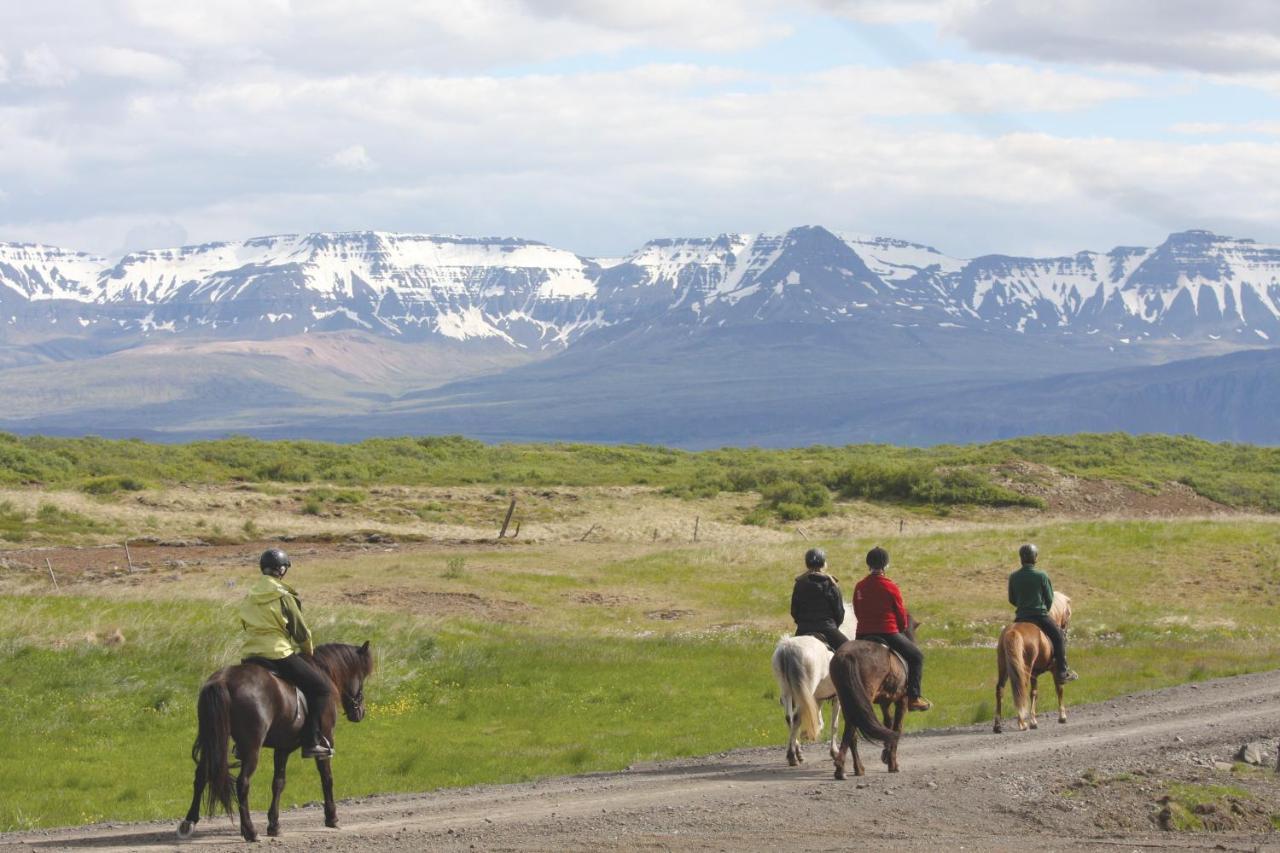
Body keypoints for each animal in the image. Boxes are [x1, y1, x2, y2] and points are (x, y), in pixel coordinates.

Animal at [177, 640, 373, 840]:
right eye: (362, 675)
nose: (360, 712)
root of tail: (223, 680)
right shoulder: (326, 741)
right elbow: (327, 777)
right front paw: (332, 817)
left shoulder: (282, 748)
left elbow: (278, 783)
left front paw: (274, 824)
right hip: (251, 747)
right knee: (242, 783)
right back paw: (250, 830)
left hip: (211, 740)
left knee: (201, 775)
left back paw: (189, 821)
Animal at [773, 604, 855, 763]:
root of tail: (787, 648)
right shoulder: (837, 697)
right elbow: (834, 725)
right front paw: (834, 752)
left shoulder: (818, 697)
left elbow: (817, 717)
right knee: (796, 718)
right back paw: (792, 755)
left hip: (787, 691)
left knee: (789, 718)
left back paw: (797, 751)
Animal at [829, 617, 921, 778]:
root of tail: (847, 655)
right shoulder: (901, 701)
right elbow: (897, 727)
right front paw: (892, 764)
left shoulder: (885, 703)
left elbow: (888, 723)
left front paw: (886, 754)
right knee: (852, 727)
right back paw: (841, 769)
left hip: (847, 700)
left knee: (852, 730)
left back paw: (855, 768)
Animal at [993, 591, 1075, 732]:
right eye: (1068, 613)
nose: (1065, 630)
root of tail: (1013, 631)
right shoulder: (1056, 669)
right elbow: (1059, 689)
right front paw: (1062, 717)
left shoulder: (1034, 674)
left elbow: (1034, 693)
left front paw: (1033, 721)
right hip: (1024, 668)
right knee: (1021, 688)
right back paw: (1022, 723)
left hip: (1003, 666)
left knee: (1000, 689)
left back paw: (998, 725)